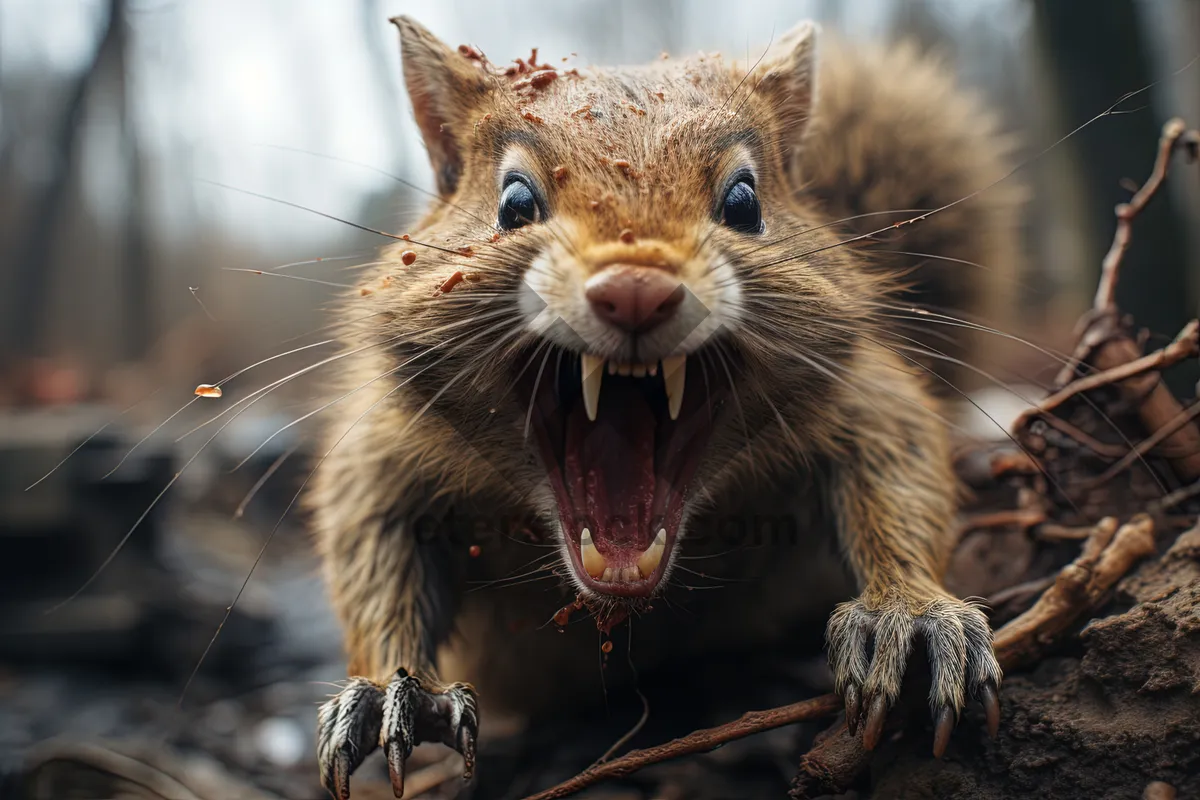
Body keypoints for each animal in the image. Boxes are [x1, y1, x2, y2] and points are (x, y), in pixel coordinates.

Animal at [309, 18, 1022, 800]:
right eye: (514, 204)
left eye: (744, 203)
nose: (635, 290)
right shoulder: (383, 448)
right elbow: (374, 549)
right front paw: (389, 687)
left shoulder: (863, 400)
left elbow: (897, 482)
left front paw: (909, 613)